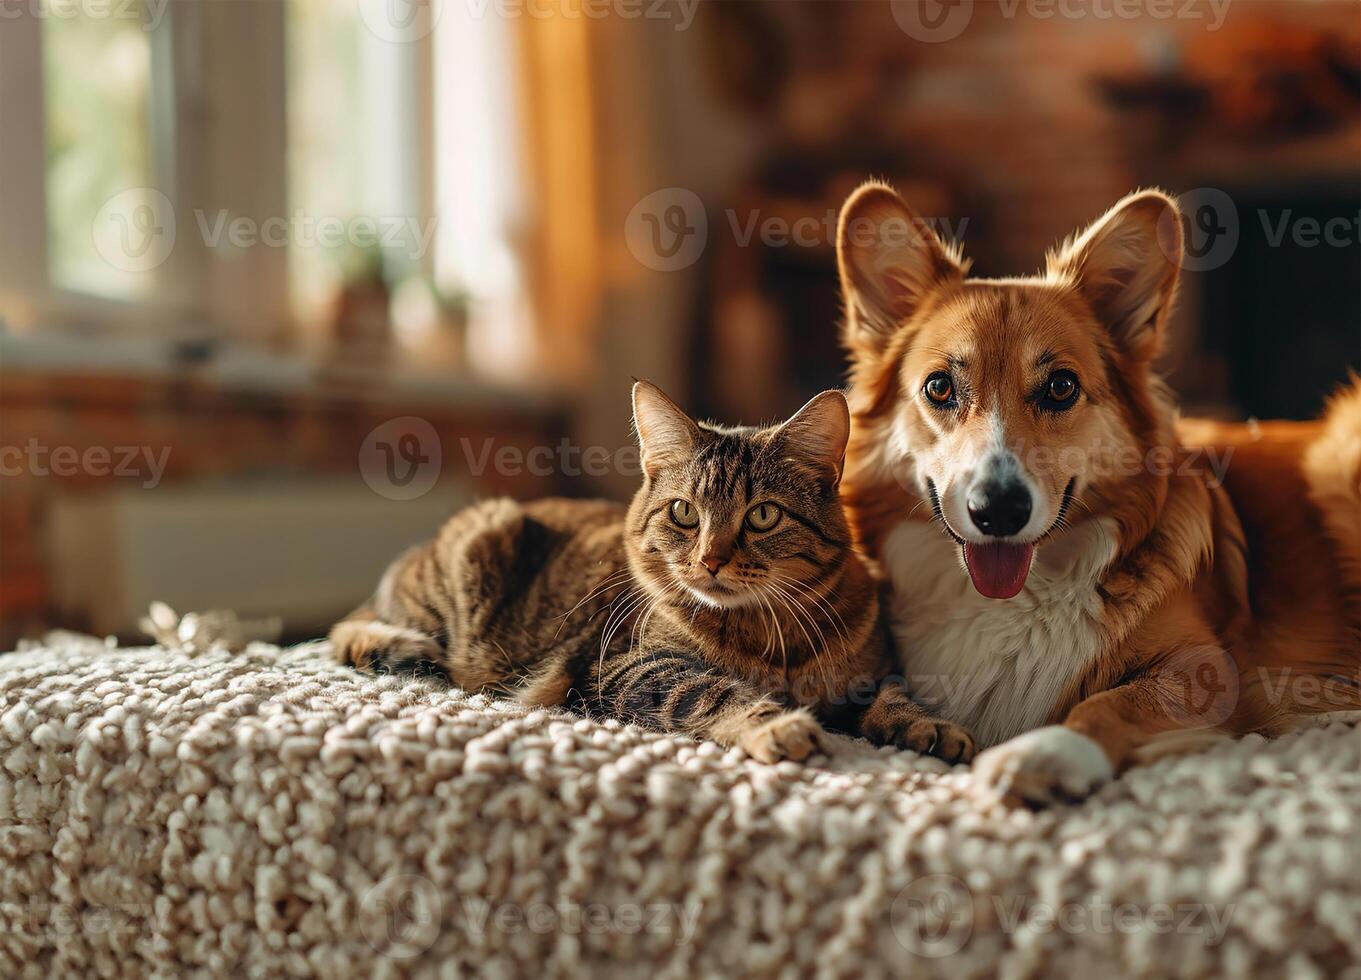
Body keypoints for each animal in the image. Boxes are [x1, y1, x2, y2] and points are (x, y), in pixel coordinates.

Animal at [329, 383, 974, 767]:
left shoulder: (878, 666)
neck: (771, 635)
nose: (710, 558)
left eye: (763, 515)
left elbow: (896, 694)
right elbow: (714, 691)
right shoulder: (628, 668)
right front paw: (777, 725)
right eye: (684, 512)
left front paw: (932, 727)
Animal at [832, 179, 1355, 805]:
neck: (1010, 601)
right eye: (939, 387)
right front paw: (911, 725)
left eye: (1061, 387)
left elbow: (1109, 701)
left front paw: (1044, 751)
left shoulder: (1208, 669)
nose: (999, 512)